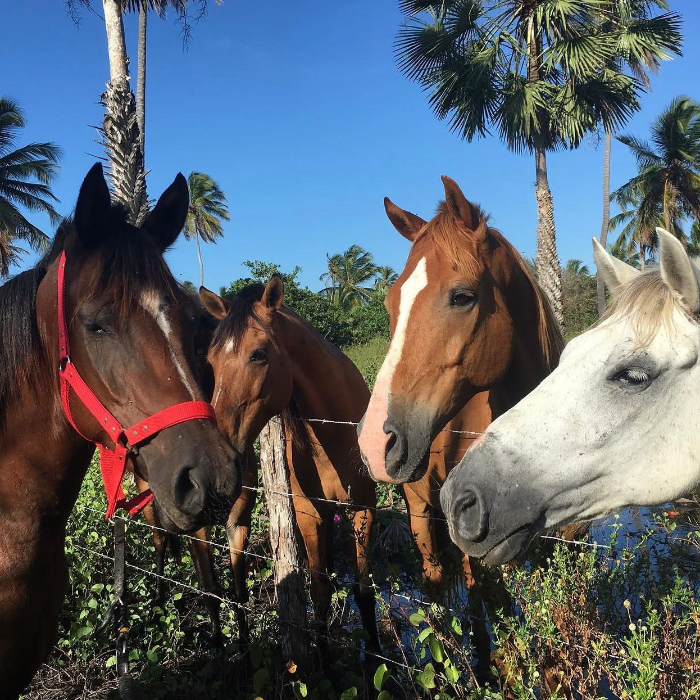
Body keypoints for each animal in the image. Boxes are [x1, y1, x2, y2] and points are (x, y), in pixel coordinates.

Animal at [199, 278, 381, 653]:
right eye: (211, 360)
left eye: (259, 354)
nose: (215, 455)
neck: (335, 431)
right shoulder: (309, 514)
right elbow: (320, 592)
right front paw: (324, 659)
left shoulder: (363, 508)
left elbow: (363, 591)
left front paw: (376, 656)